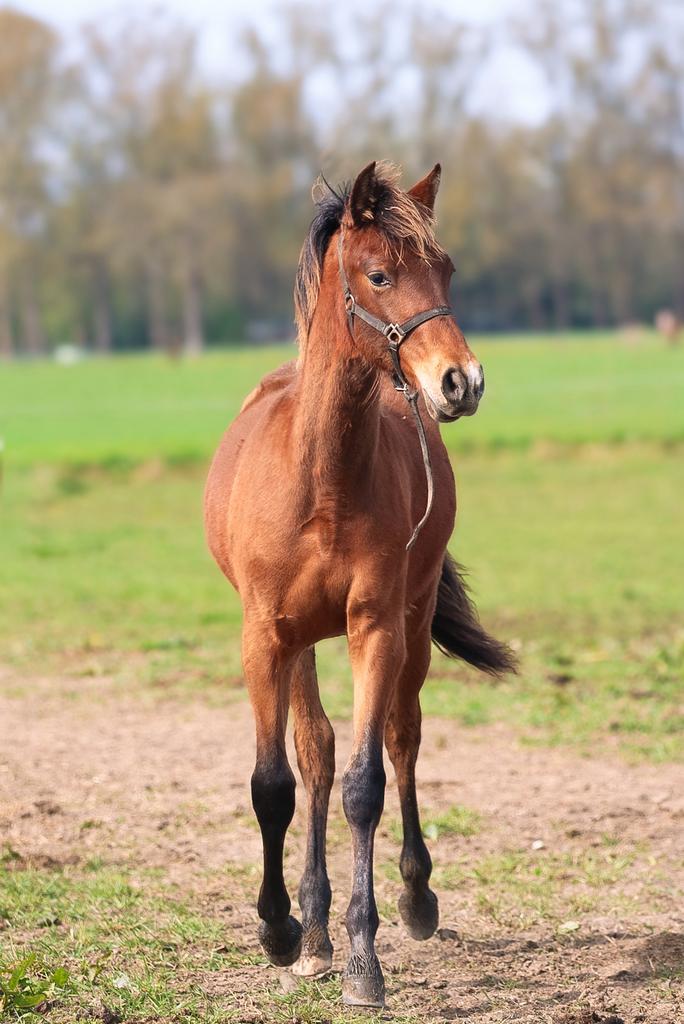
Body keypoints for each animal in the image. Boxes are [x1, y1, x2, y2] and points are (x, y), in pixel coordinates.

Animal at [204, 160, 515, 1009]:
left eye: (445, 269)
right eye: (379, 275)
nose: (461, 381)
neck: (322, 480)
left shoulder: (375, 626)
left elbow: (365, 783)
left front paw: (364, 958)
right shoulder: (265, 636)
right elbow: (276, 782)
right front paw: (280, 930)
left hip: (408, 624)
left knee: (402, 739)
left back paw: (411, 897)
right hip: (304, 643)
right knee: (311, 754)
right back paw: (308, 929)